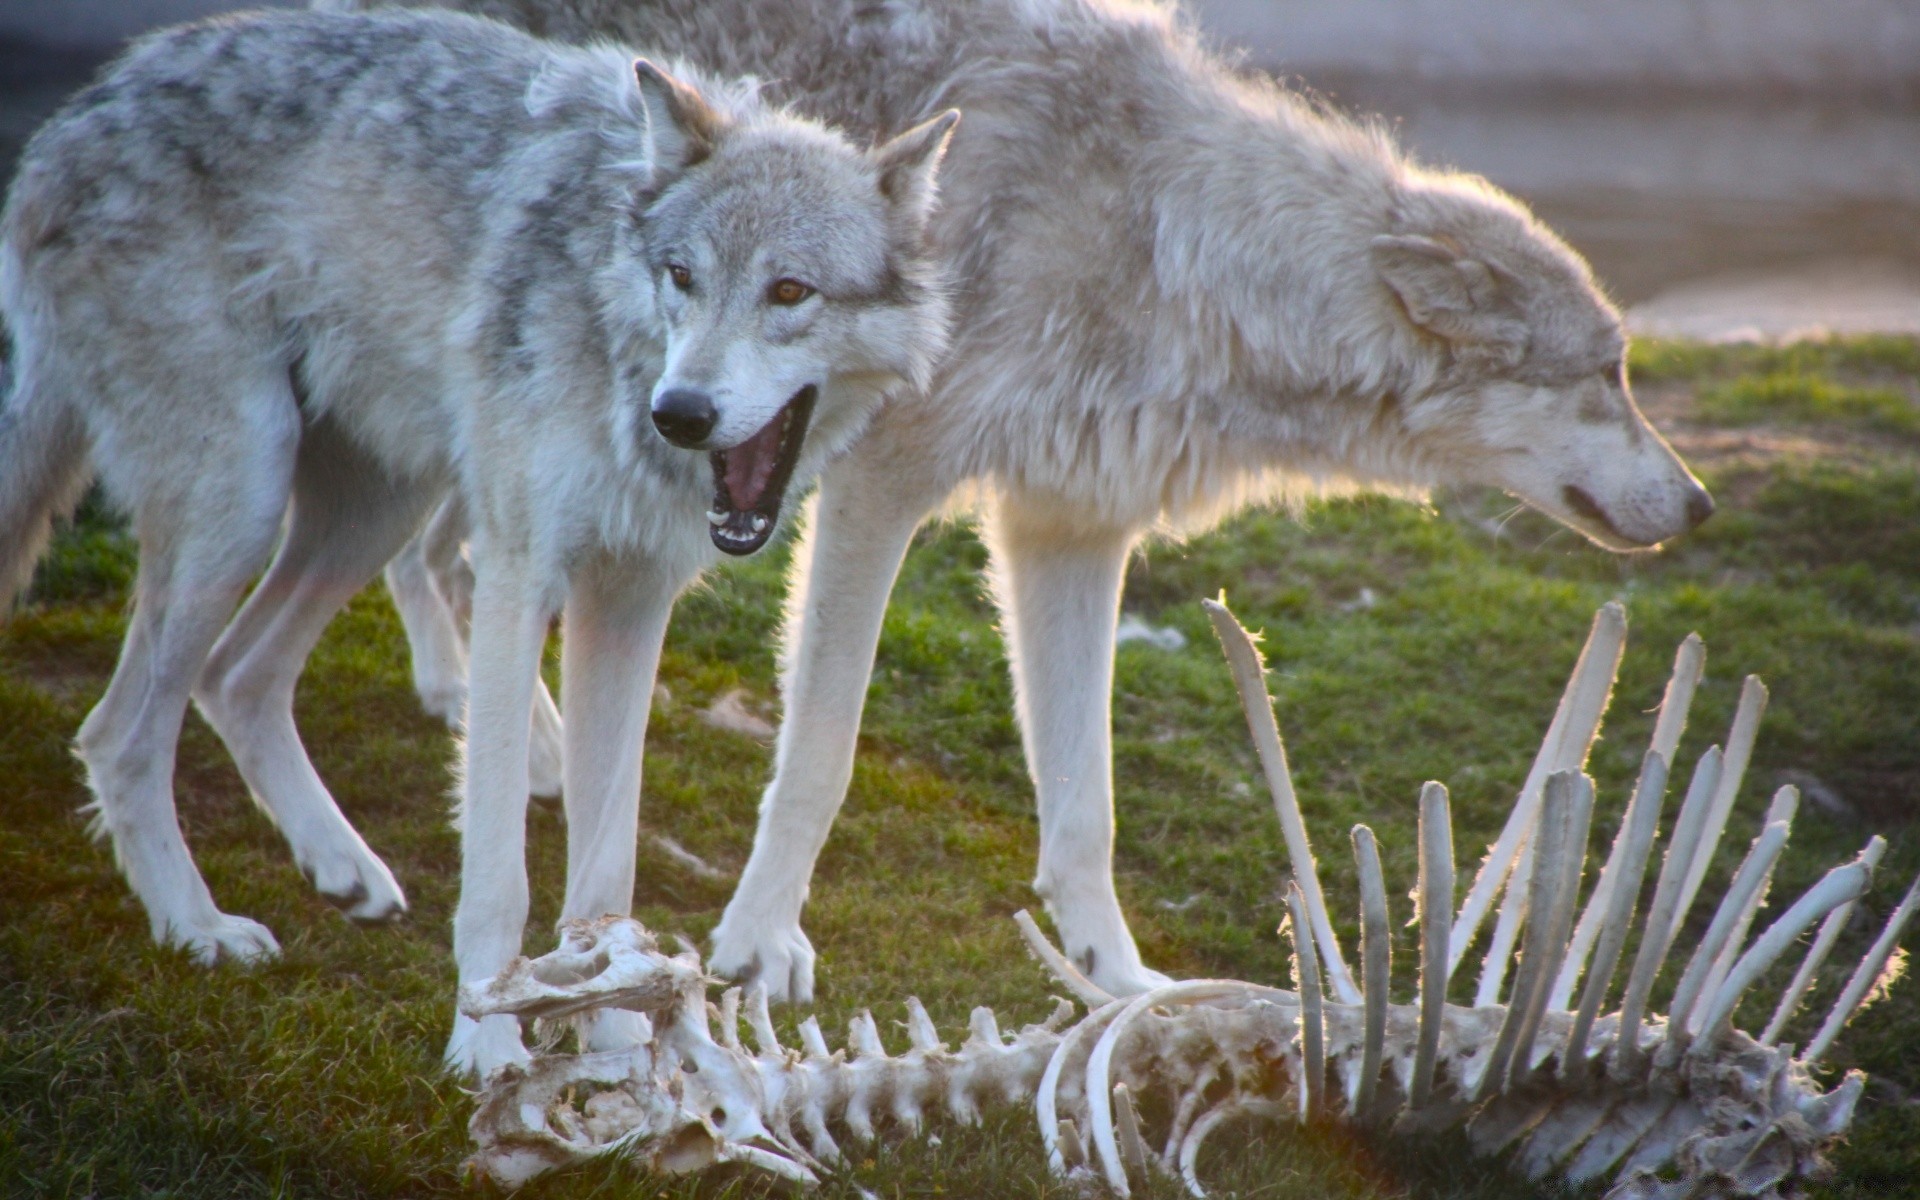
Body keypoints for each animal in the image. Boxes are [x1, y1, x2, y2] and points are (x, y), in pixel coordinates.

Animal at [0, 7, 960, 1075]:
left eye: (789, 291)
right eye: (682, 277)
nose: (681, 414)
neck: (613, 338)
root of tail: (77, 114)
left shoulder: (628, 606)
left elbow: (608, 868)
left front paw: (616, 1041)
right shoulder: (514, 578)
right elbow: (501, 873)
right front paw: (489, 1044)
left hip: (368, 514)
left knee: (235, 676)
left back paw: (342, 869)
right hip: (243, 502)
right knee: (119, 733)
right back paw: (197, 928)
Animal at [337, 0, 1720, 998]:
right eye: (1609, 374)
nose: (1701, 506)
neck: (1167, 245)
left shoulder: (1069, 531)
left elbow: (1084, 809)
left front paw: (1117, 981)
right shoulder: (879, 492)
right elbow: (822, 757)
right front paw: (756, 945)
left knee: (441, 557)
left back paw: (499, 729)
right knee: (453, 558)